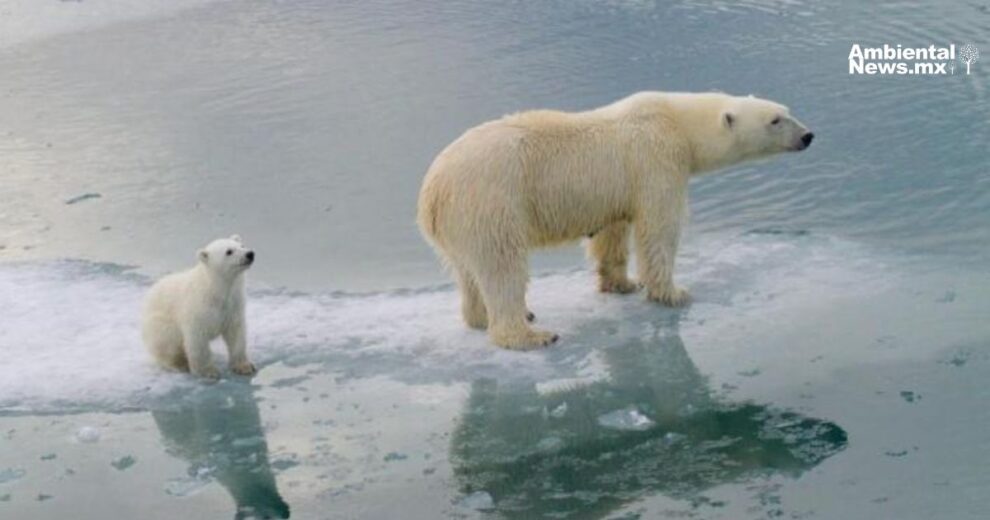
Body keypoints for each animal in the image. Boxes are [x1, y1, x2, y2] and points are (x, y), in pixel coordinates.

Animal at [142, 235, 257, 379]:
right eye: (229, 251)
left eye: (242, 245)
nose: (250, 254)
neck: (215, 289)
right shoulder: (197, 308)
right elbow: (198, 339)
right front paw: (208, 371)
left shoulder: (233, 306)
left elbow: (236, 334)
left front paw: (245, 367)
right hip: (160, 323)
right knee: (167, 342)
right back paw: (178, 364)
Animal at [416, 91, 813, 350]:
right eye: (775, 120)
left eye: (786, 110)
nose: (808, 135)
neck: (676, 120)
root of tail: (432, 192)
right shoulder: (657, 160)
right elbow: (659, 228)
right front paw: (674, 292)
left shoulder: (617, 190)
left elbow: (613, 232)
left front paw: (622, 284)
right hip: (491, 202)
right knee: (502, 266)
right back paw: (530, 333)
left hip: (460, 223)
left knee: (468, 272)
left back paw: (481, 317)